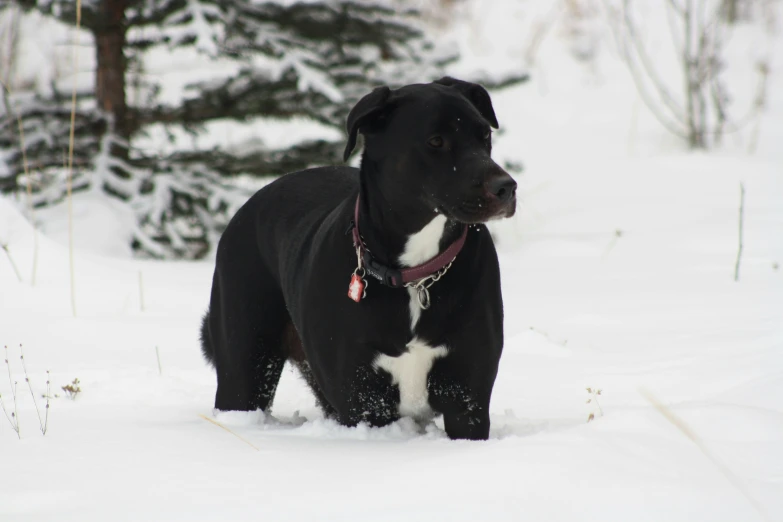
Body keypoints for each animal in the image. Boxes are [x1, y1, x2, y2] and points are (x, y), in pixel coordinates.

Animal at [202, 75, 516, 436]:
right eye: (436, 141)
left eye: (485, 135)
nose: (506, 187)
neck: (415, 275)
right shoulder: (362, 400)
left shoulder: (468, 397)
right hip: (244, 363)